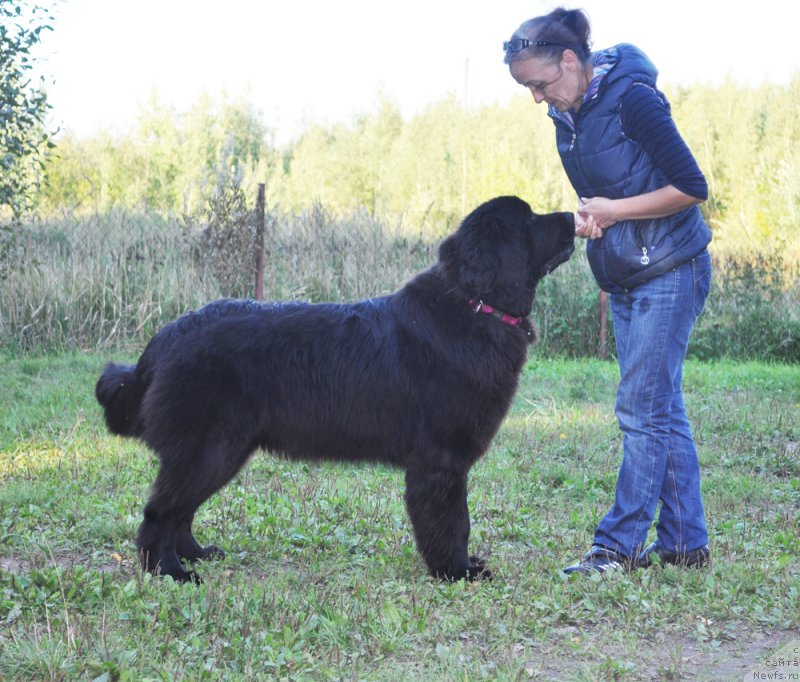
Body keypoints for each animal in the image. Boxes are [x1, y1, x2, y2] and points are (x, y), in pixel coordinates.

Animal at [95, 194, 576, 580]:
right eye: (530, 220)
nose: (574, 214)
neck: (476, 304)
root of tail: (167, 336)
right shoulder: (441, 462)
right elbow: (453, 522)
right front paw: (457, 572)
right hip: (208, 448)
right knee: (160, 513)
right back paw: (170, 572)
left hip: (218, 451)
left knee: (182, 510)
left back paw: (196, 554)